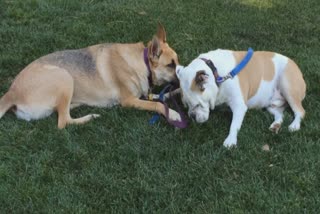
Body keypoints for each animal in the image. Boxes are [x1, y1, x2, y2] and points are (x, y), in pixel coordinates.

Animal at [0, 23, 181, 128]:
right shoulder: (129, 101)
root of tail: (11, 93)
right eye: (170, 65)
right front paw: (173, 113)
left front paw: (173, 94)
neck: (141, 63)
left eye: (177, 62)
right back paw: (90, 117)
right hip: (64, 76)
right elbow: (157, 105)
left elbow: (159, 97)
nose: (183, 81)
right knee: (63, 122)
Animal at [176, 49, 306, 148]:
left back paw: (294, 125)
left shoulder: (239, 106)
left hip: (288, 87)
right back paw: (275, 125)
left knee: (300, 111)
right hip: (272, 105)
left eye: (197, 105)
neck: (217, 73)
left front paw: (230, 140)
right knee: (280, 114)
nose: (192, 116)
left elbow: (234, 125)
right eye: (186, 105)